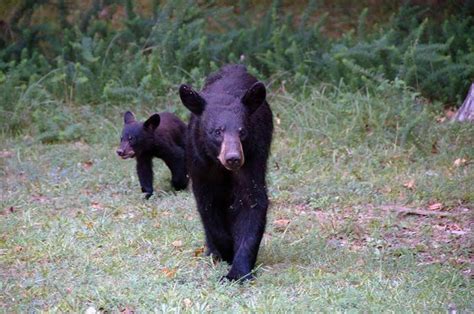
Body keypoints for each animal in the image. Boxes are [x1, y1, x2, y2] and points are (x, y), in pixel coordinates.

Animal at [179, 65, 274, 280]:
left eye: (242, 131)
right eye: (217, 131)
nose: (233, 158)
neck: (219, 164)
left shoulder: (253, 157)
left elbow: (252, 202)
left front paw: (237, 271)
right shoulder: (200, 163)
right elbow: (207, 205)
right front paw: (225, 249)